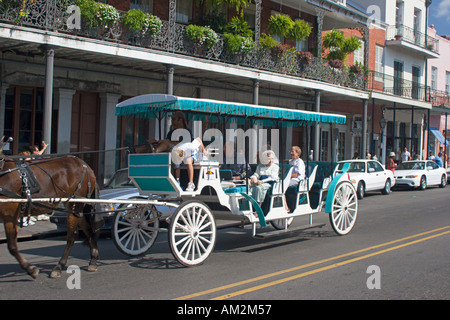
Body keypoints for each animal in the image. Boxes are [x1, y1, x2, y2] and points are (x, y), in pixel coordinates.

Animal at [0, 141, 101, 278]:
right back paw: (93, 260)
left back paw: (59, 266)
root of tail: (85, 166)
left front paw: (30, 269)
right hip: (76, 205)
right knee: (88, 229)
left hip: (75, 203)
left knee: (72, 235)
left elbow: (12, 245)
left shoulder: (9, 212)